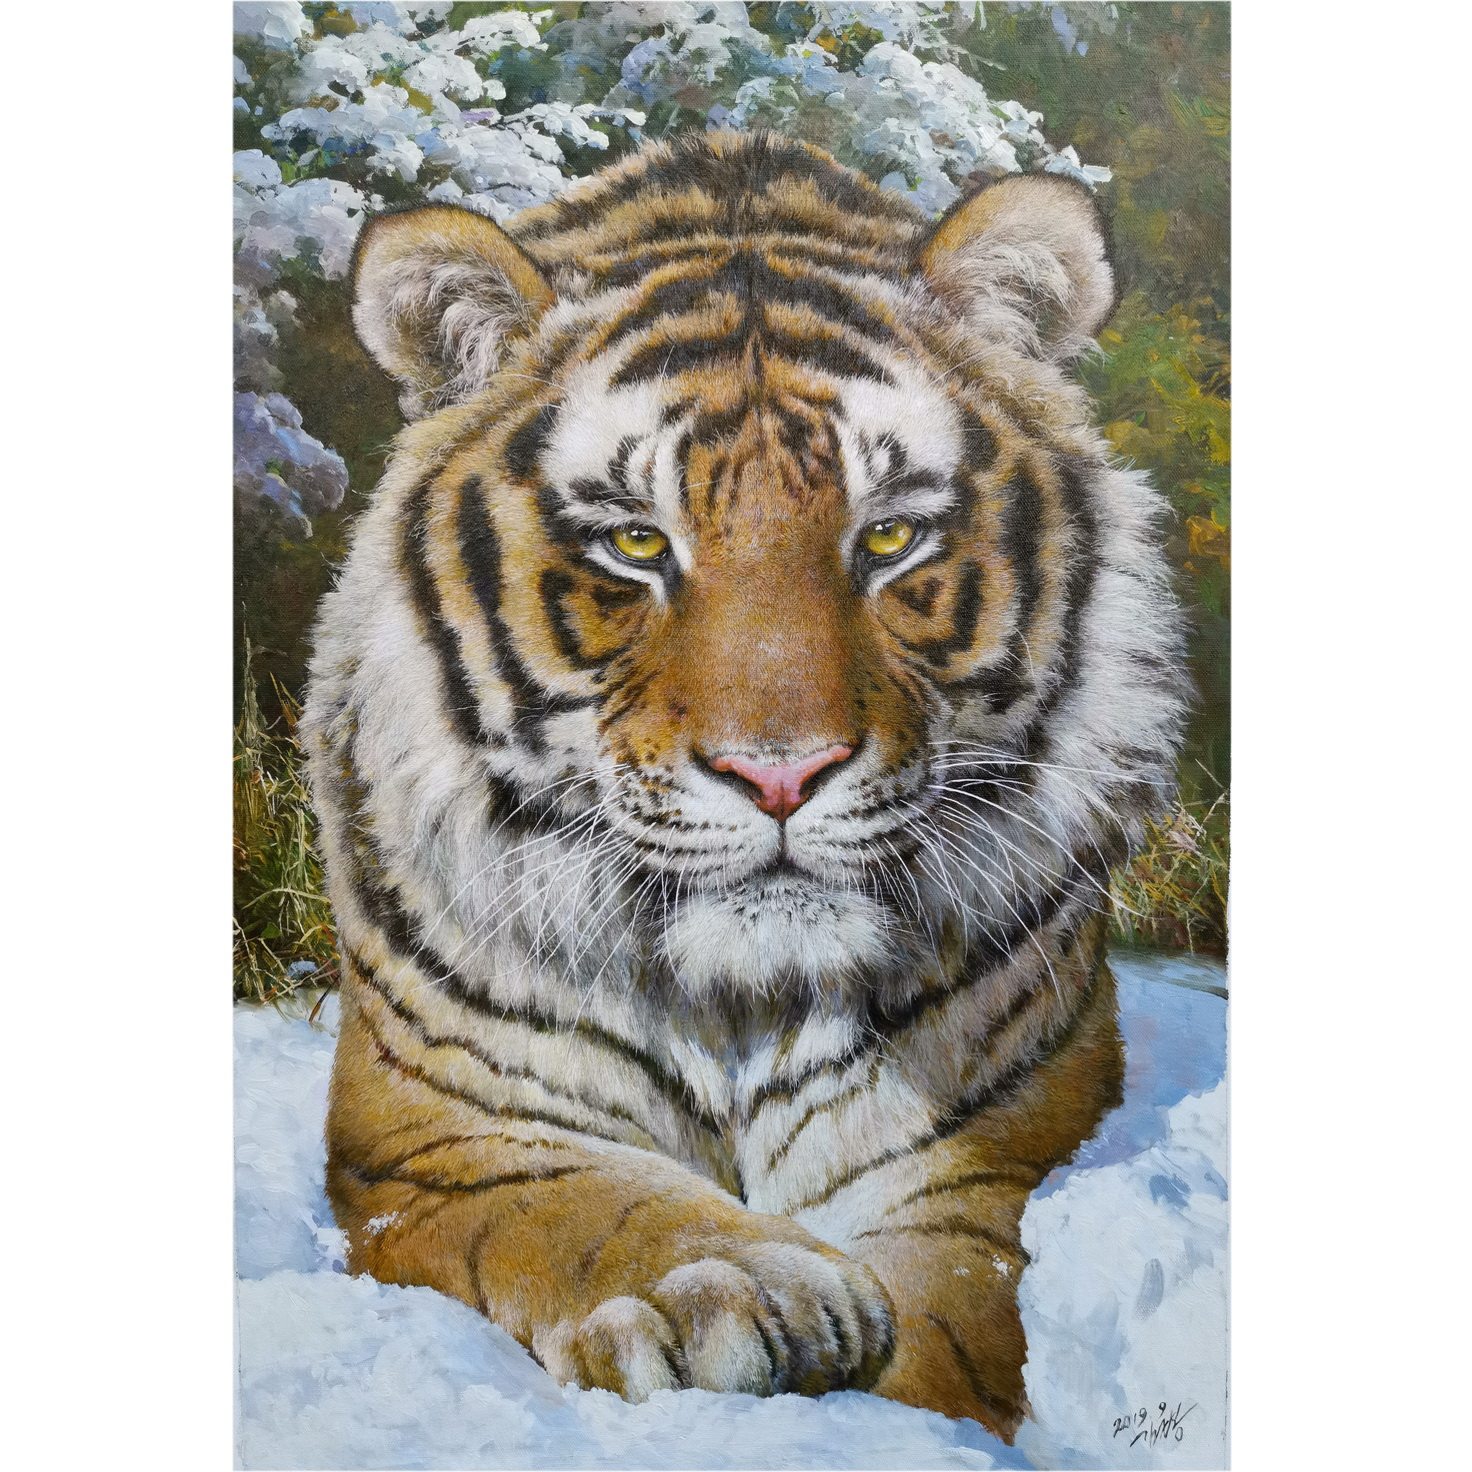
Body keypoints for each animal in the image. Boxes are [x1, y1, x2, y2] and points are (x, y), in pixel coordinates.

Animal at [303, 130, 1185, 1441]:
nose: (781, 773)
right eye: (635, 542)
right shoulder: (442, 1138)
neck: (740, 1004)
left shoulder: (998, 1150)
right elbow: (581, 1205)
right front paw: (720, 1286)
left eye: (886, 539)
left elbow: (957, 1315)